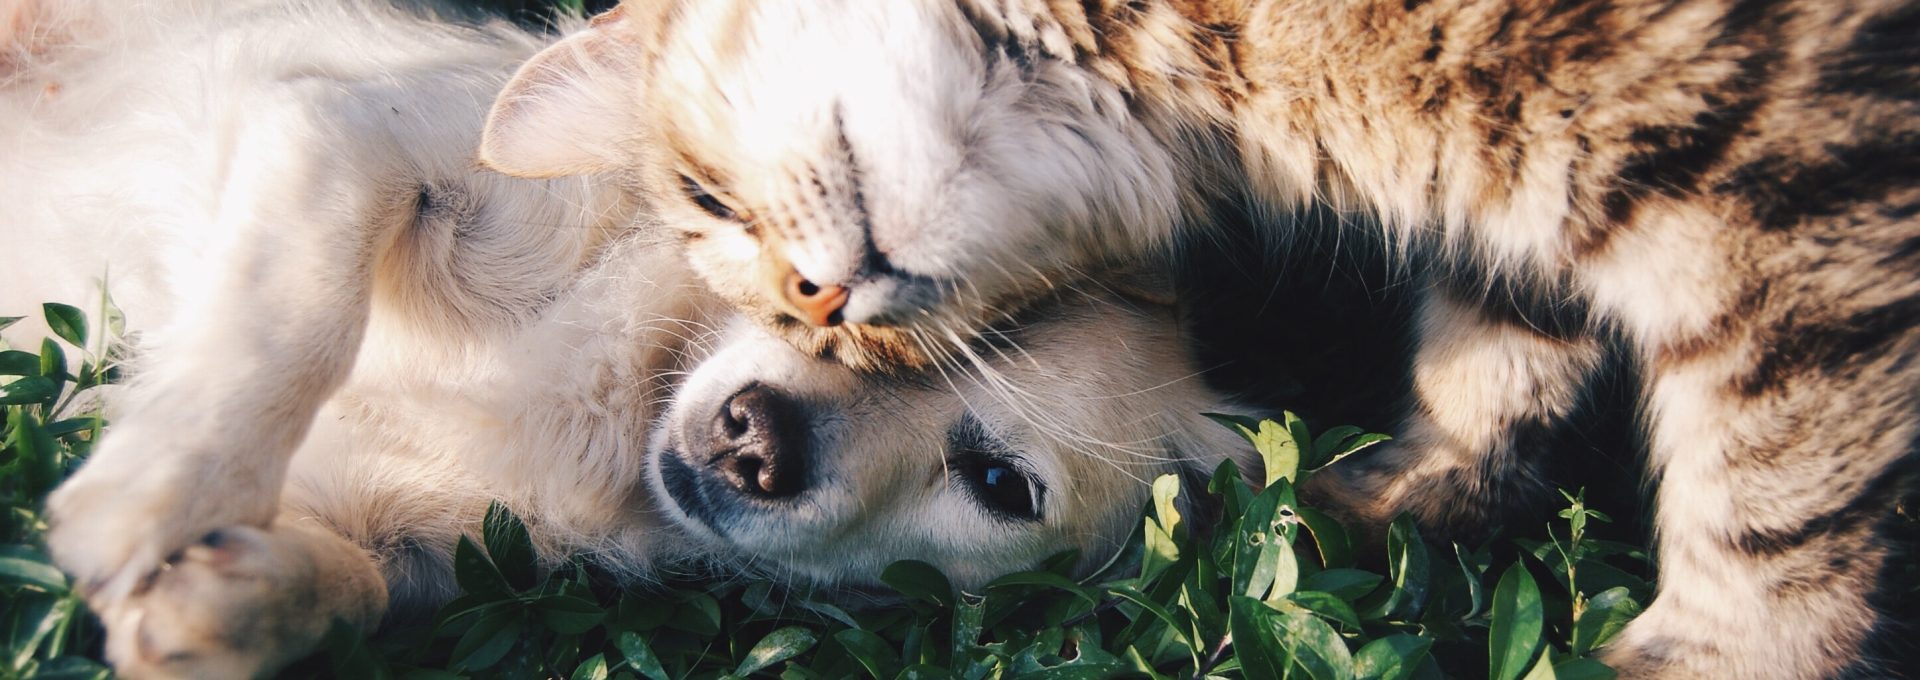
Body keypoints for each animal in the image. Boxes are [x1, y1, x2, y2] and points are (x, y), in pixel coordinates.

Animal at [3, 2, 1259, 676]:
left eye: (999, 483)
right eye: (815, 294)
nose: (757, 439)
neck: (627, 398)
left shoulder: (416, 553)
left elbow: (350, 587)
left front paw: (222, 601)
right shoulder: (347, 127)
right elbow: (294, 315)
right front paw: (157, 489)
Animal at [480, 2, 1920, 676]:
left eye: (708, 200)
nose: (817, 308)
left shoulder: (1785, 179)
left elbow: (1775, 491)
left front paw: (1726, 657)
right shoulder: (1528, 190)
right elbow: (1497, 345)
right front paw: (1408, 492)